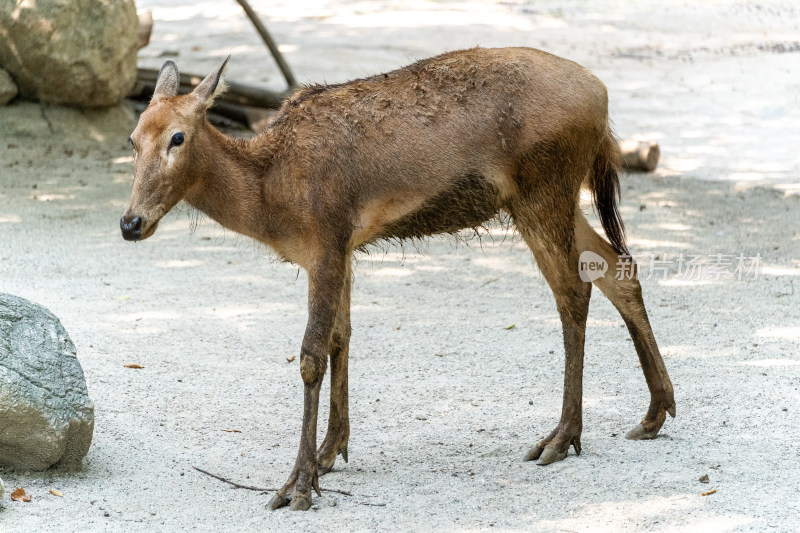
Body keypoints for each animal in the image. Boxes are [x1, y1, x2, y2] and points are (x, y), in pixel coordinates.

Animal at [120, 47, 676, 510]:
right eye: (132, 139)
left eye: (177, 137)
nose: (131, 223)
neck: (271, 199)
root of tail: (602, 102)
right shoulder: (341, 249)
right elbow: (341, 337)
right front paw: (330, 452)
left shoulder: (325, 240)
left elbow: (310, 356)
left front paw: (298, 485)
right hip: (549, 196)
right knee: (619, 269)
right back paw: (655, 411)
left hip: (544, 188)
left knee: (573, 290)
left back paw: (561, 436)